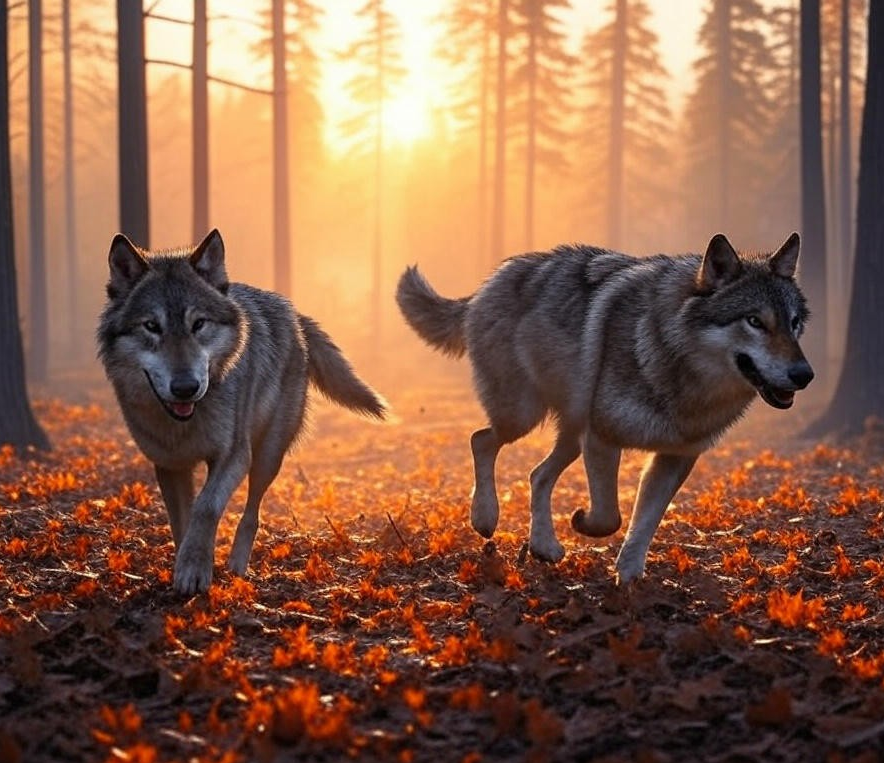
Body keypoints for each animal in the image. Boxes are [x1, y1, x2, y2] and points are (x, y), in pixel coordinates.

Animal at [98, 229, 386, 595]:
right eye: (151, 326)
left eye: (198, 324)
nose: (185, 387)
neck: (185, 423)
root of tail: (293, 314)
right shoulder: (169, 464)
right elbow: (182, 522)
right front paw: (186, 565)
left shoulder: (234, 455)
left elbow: (206, 507)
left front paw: (195, 570)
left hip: (267, 456)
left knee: (253, 511)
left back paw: (237, 565)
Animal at [396, 233, 813, 583]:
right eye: (755, 321)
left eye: (794, 324)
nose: (805, 374)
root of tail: (489, 282)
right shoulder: (602, 438)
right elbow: (610, 517)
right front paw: (583, 523)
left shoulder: (676, 457)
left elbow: (643, 525)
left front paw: (629, 584)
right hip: (524, 415)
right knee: (481, 439)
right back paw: (485, 517)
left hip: (570, 435)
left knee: (536, 474)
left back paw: (544, 547)